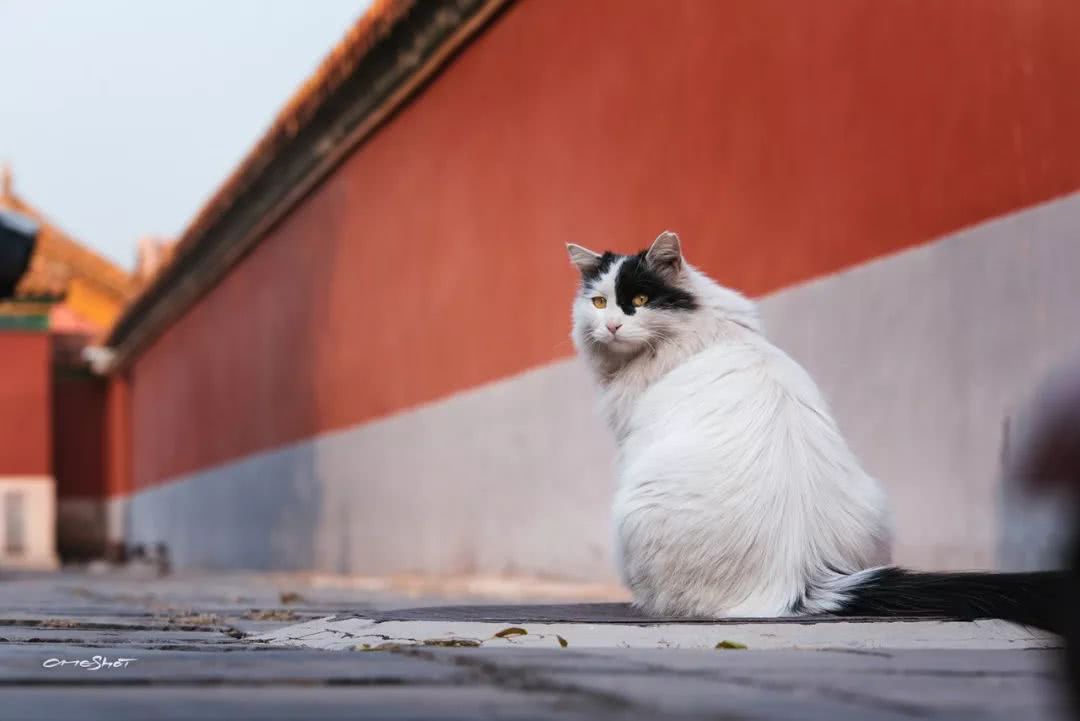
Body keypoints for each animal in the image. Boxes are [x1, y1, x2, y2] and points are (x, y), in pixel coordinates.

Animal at [574, 230, 1062, 630]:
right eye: (598, 302)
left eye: (638, 301)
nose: (611, 325)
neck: (705, 330)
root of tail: (800, 580)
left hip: (632, 507)